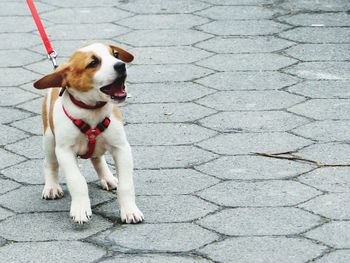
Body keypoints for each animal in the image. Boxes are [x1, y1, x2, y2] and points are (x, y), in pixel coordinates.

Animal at [32, 43, 143, 225]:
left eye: (115, 54)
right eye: (93, 63)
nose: (121, 65)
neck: (92, 111)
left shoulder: (122, 148)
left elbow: (126, 184)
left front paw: (130, 210)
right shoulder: (64, 151)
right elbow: (77, 180)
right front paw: (80, 209)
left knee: (97, 159)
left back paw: (108, 178)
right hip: (49, 140)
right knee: (50, 163)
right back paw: (52, 187)